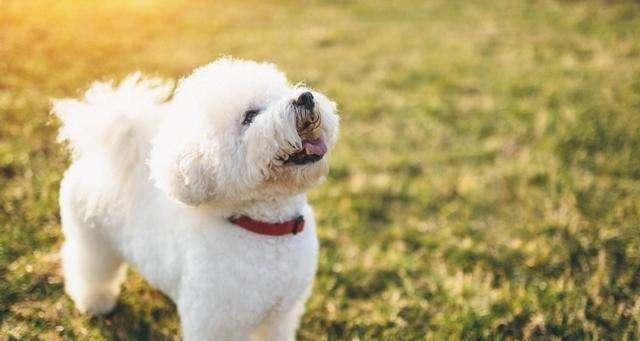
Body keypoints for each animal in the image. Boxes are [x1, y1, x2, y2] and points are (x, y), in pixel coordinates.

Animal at [53, 57, 340, 338]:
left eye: (283, 91)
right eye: (249, 116)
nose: (305, 97)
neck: (264, 228)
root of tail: (96, 157)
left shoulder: (280, 314)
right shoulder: (213, 322)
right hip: (91, 237)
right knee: (88, 267)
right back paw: (95, 302)